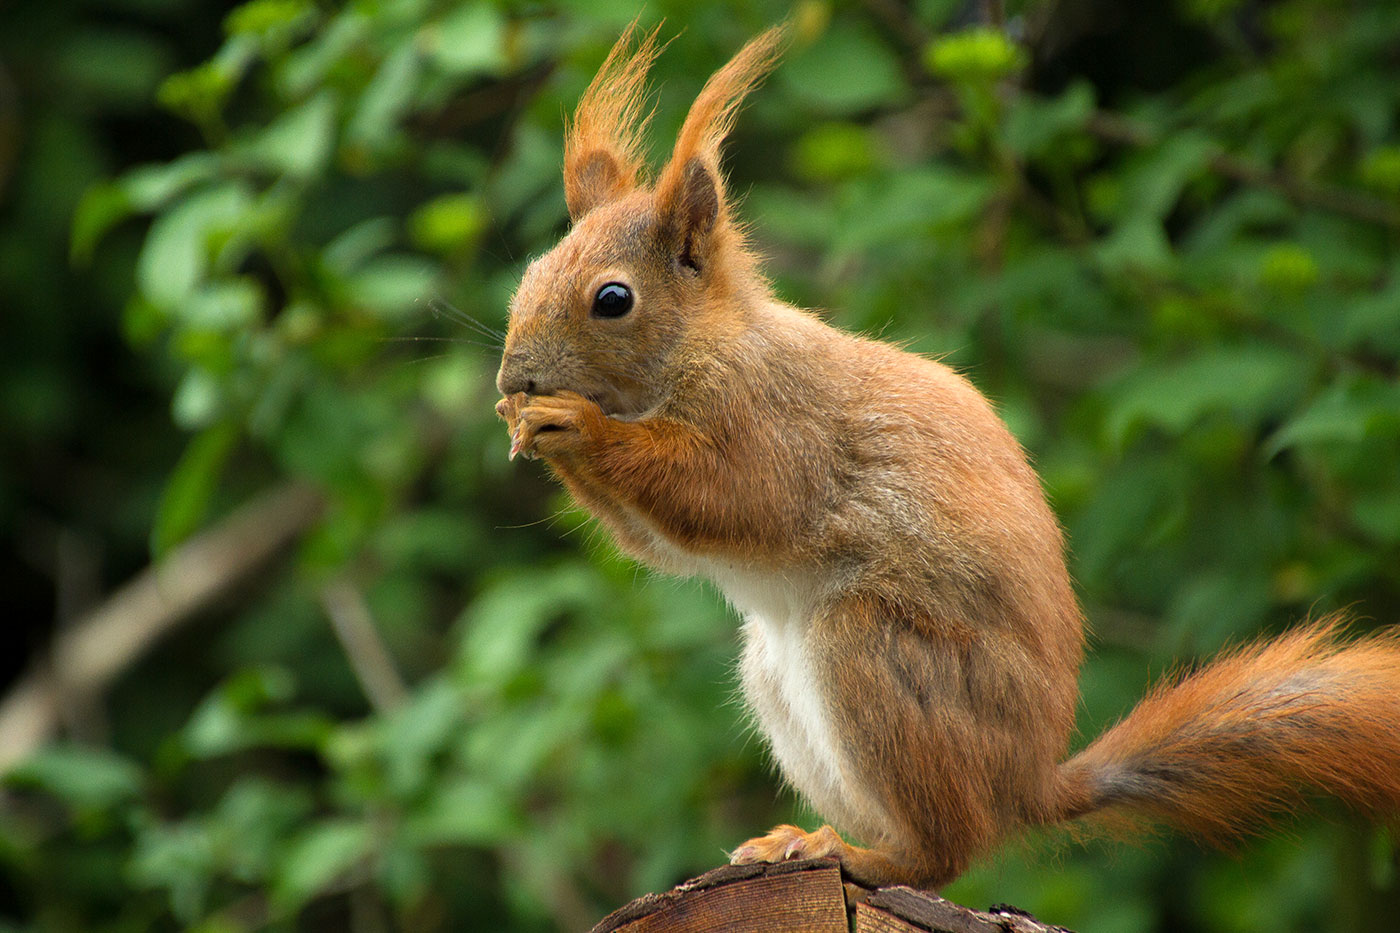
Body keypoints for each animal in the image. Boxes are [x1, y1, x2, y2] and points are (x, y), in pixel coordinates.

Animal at [490, 25, 1400, 885]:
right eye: (530, 272)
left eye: (613, 299)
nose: (509, 375)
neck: (702, 351)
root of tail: (1027, 787)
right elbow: (660, 544)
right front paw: (522, 421)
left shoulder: (776, 424)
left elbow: (730, 495)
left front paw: (576, 425)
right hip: (777, 681)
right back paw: (804, 838)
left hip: (875, 654)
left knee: (946, 852)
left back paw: (869, 858)